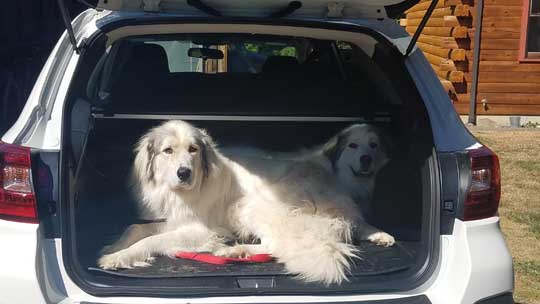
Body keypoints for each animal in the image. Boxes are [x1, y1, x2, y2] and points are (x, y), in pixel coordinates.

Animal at [98, 120, 392, 284]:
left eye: (193, 150)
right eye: (167, 151)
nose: (184, 173)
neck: (181, 192)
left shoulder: (200, 230)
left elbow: (151, 241)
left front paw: (120, 257)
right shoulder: (170, 219)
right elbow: (136, 228)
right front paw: (114, 247)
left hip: (248, 207)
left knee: (275, 245)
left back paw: (235, 251)